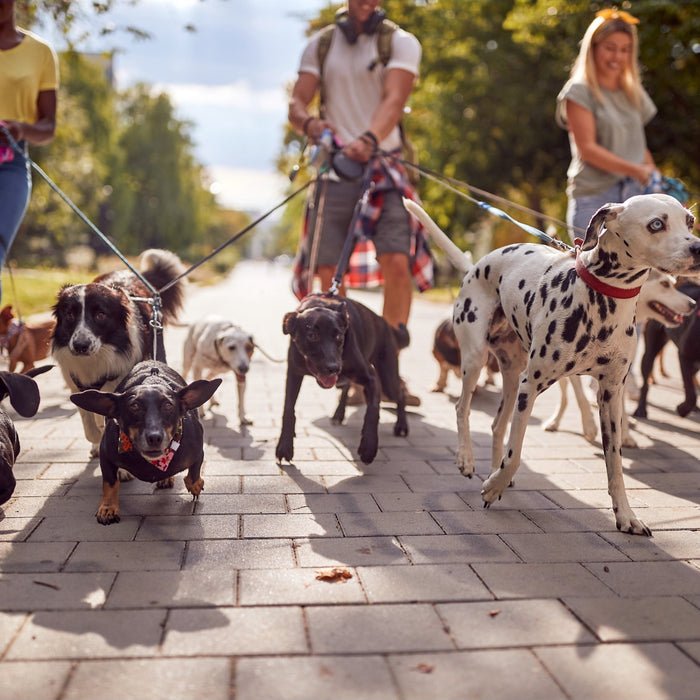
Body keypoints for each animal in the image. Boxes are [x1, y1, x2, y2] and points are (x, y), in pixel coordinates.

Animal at [404, 197, 700, 536]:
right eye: (656, 224)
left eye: (690, 221)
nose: (697, 248)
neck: (604, 304)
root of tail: (475, 266)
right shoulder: (531, 386)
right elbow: (516, 453)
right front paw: (492, 489)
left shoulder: (610, 395)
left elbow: (615, 466)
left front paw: (626, 516)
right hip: (477, 359)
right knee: (462, 408)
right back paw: (466, 459)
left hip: (511, 378)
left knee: (497, 426)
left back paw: (493, 471)